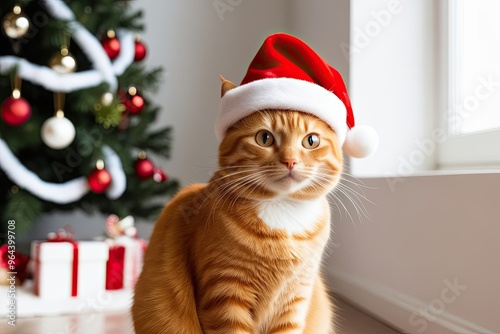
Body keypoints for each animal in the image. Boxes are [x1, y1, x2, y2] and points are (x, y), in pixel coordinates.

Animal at [132, 77, 344, 332]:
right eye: (264, 138)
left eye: (311, 141)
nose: (290, 161)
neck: (282, 210)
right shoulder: (226, 295)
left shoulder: (295, 300)